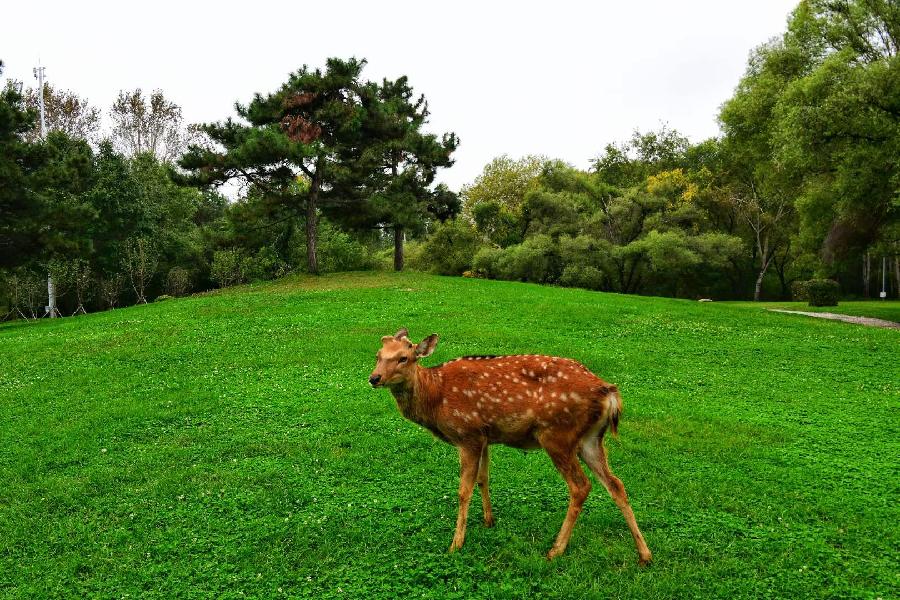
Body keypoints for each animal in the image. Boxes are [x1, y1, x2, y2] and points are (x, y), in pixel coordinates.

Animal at [369, 328, 652, 564]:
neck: (436, 397)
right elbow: (483, 479)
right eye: (378, 355)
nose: (374, 377)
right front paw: (489, 521)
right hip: (590, 440)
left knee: (581, 486)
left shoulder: (467, 434)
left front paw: (456, 544)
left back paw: (556, 550)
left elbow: (463, 491)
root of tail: (610, 393)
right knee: (616, 484)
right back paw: (644, 554)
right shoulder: (484, 437)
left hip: (557, 434)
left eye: (404, 358)